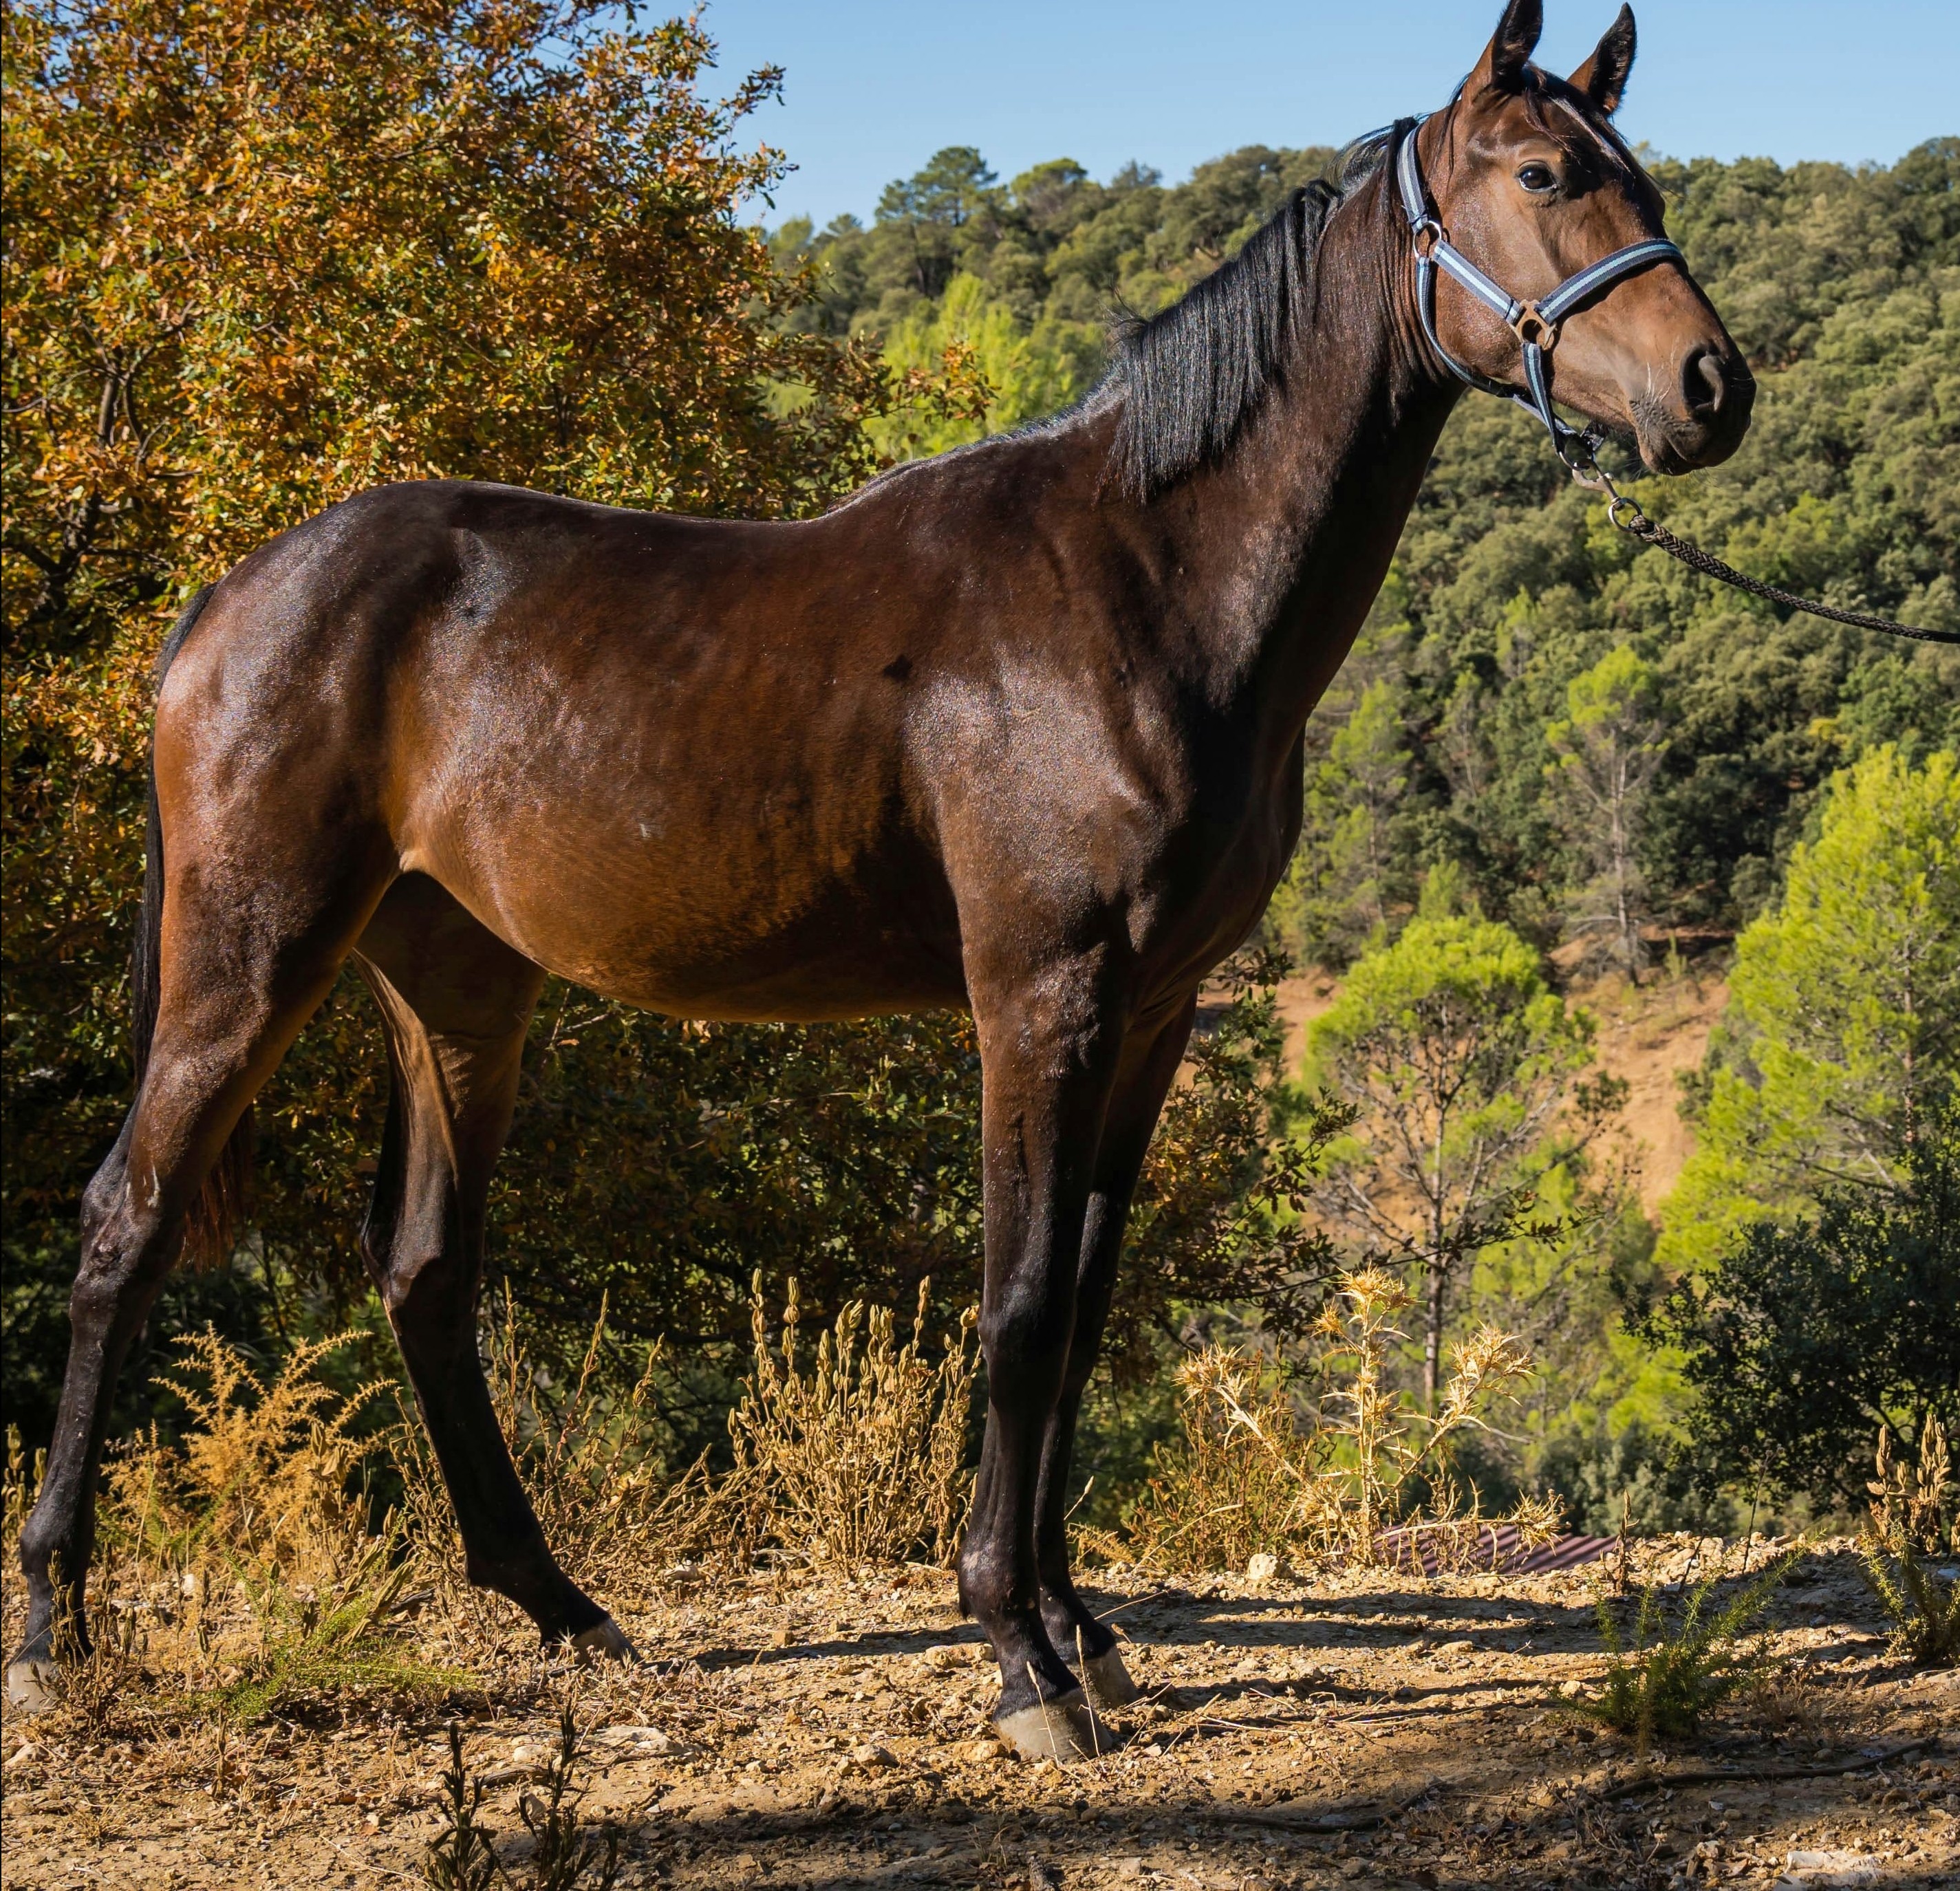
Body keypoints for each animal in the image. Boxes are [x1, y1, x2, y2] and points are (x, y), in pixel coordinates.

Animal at [9, 0, 1752, 1757]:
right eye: (1541, 176)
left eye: (1639, 176)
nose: (1711, 387)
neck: (1145, 580)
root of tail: (230, 597)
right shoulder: (1039, 997)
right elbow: (1020, 1303)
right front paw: (1018, 1653)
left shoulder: (1152, 1017)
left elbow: (1084, 1308)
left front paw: (1079, 1628)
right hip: (251, 956)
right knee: (124, 1221)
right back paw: (53, 1626)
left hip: (459, 992)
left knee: (426, 1270)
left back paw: (564, 1610)